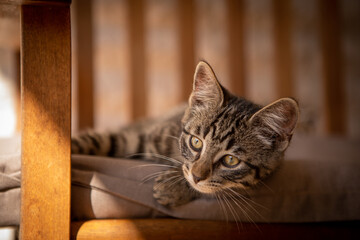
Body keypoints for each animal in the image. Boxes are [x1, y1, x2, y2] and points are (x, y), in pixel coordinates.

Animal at [71, 60, 300, 208]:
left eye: (231, 160)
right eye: (196, 142)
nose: (197, 176)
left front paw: (175, 187)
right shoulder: (141, 137)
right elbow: (98, 140)